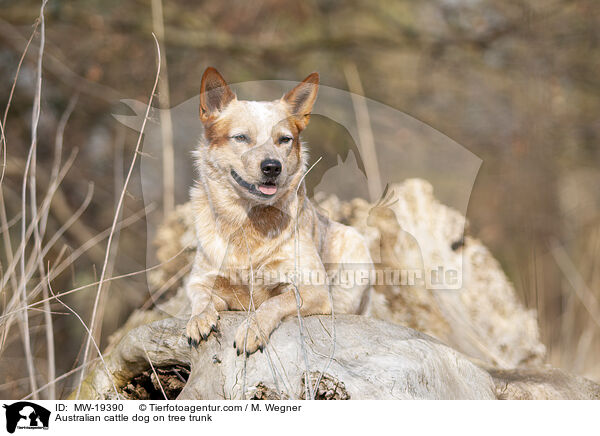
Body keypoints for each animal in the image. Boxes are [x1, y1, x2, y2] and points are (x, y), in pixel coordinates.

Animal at [184, 67, 370, 354]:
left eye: (284, 139)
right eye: (241, 137)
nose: (272, 167)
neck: (249, 223)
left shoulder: (313, 289)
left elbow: (274, 301)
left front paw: (253, 329)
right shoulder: (201, 280)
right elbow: (201, 298)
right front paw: (199, 319)